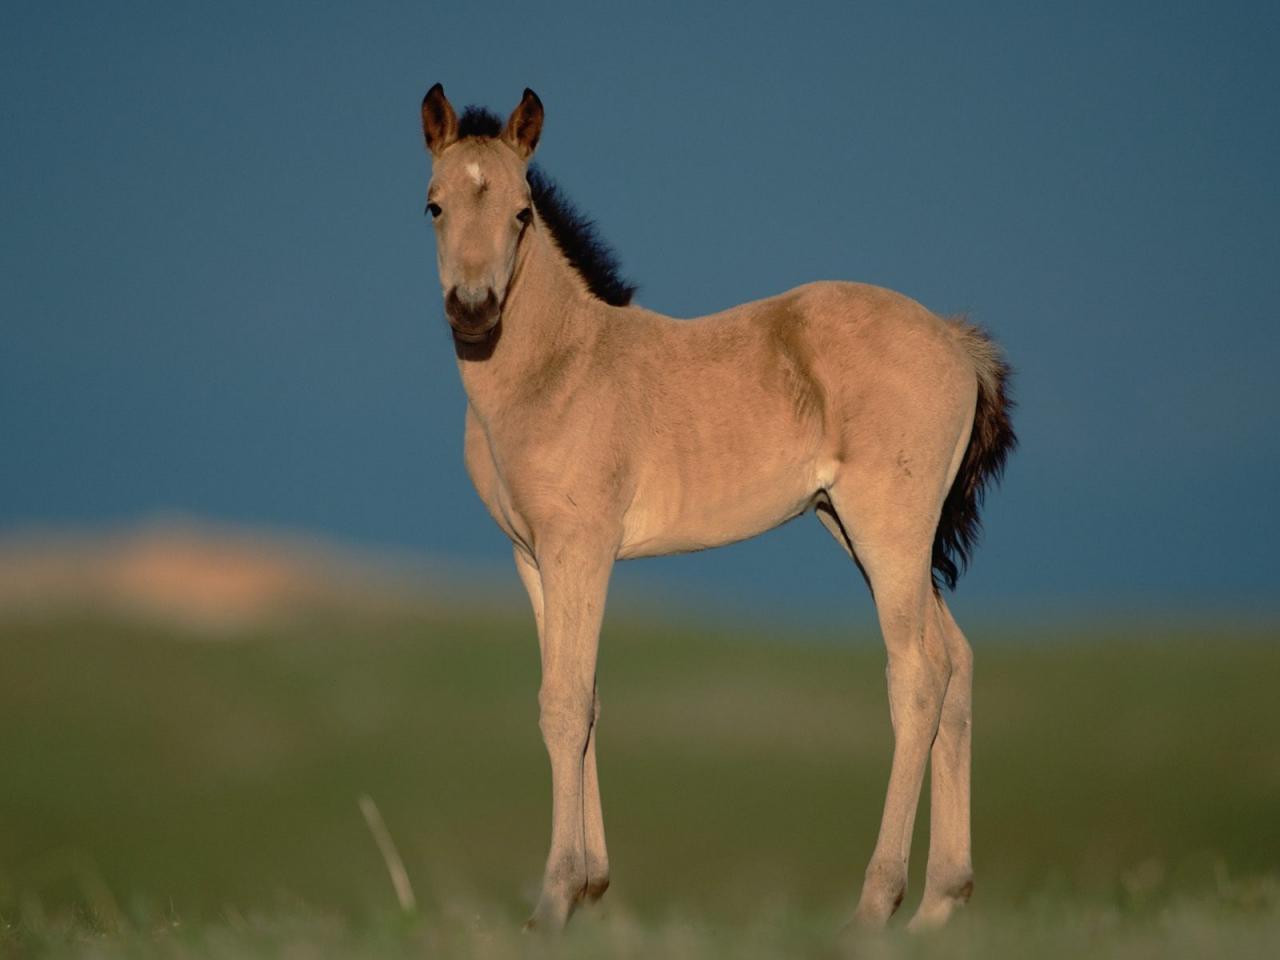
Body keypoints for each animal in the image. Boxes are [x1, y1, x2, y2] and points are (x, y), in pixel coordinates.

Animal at [414, 86, 1013, 936]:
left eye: (522, 212)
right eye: (433, 206)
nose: (472, 309)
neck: (560, 367)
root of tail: (958, 342)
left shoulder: (581, 548)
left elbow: (564, 702)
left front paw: (554, 899)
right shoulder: (532, 558)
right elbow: (582, 695)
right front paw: (591, 887)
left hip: (888, 531)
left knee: (919, 677)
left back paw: (875, 905)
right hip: (863, 530)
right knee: (956, 663)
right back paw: (938, 905)